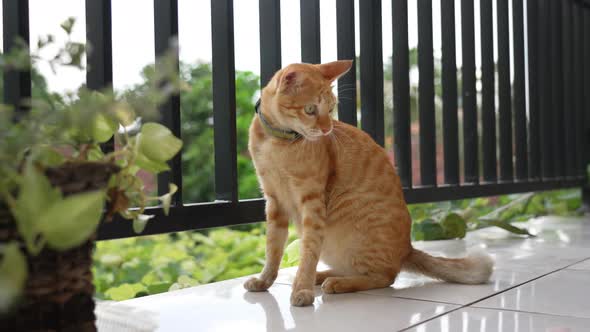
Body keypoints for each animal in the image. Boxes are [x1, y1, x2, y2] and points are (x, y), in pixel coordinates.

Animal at [244, 60, 494, 306]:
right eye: (310, 109)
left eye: (331, 109)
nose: (327, 129)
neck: (275, 143)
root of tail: (407, 249)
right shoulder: (274, 203)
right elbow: (273, 249)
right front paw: (264, 281)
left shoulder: (312, 204)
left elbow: (307, 252)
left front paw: (302, 289)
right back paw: (323, 276)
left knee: (384, 277)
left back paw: (336, 283)